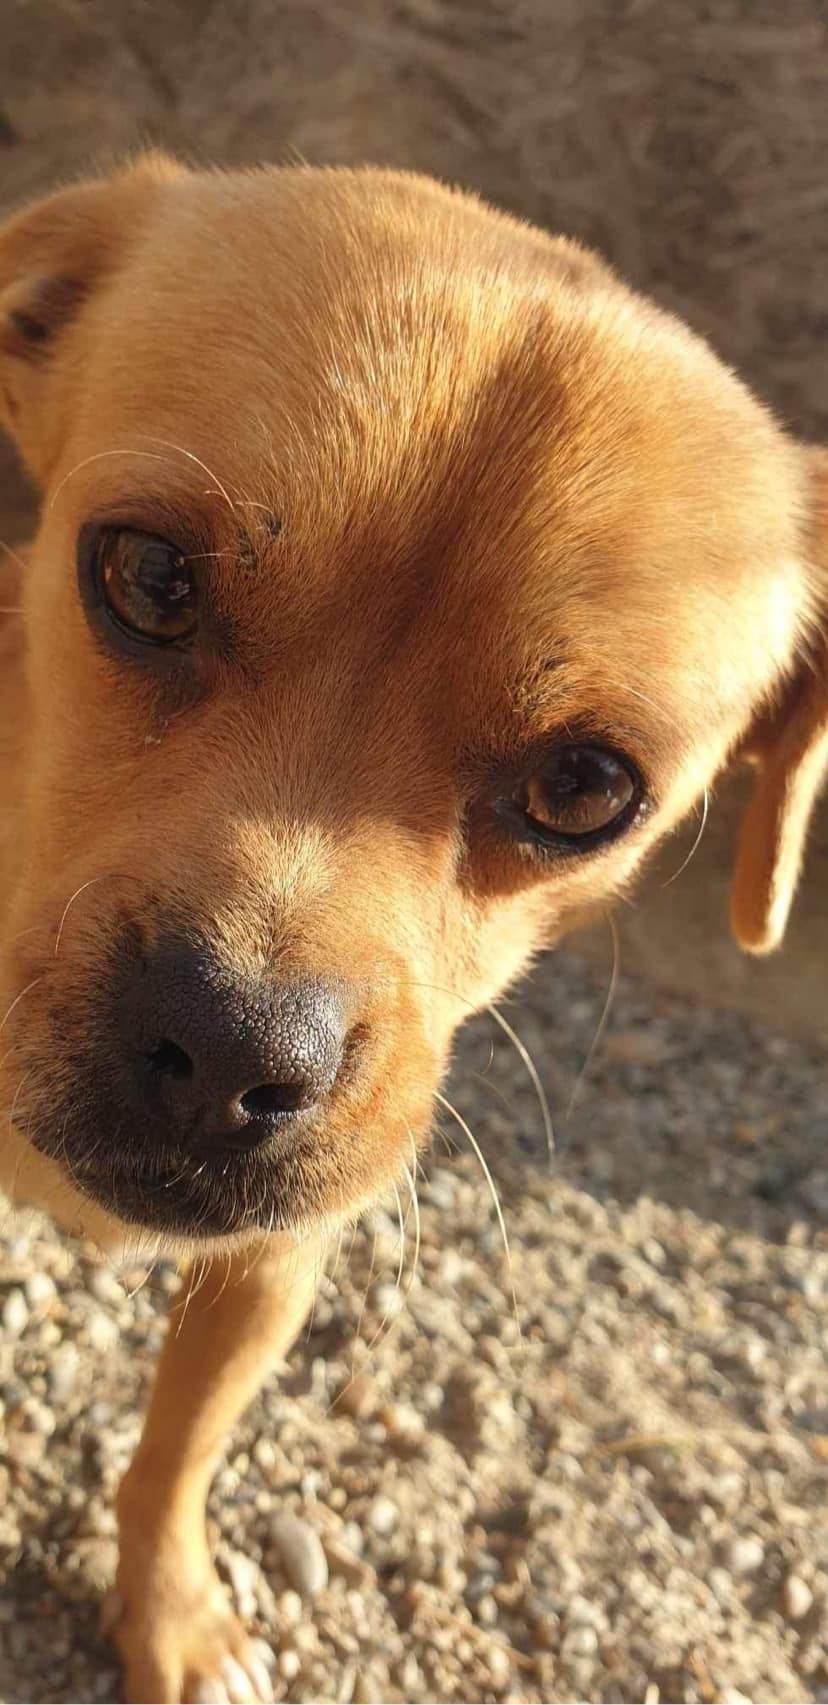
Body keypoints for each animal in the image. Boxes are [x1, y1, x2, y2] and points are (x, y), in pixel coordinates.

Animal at [0, 153, 824, 1698]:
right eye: (146, 577)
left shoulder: (270, 1266)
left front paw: (173, 1613)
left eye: (585, 788)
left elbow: (179, 1446)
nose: (226, 1046)